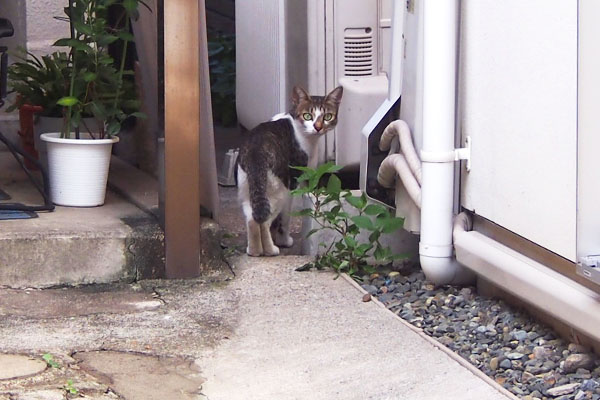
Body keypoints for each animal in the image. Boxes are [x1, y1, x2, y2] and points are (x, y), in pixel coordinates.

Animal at [238, 86, 344, 258]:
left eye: (328, 116)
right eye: (308, 116)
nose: (318, 127)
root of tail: (256, 152)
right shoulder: (296, 180)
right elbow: (285, 219)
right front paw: (284, 241)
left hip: (248, 189)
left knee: (252, 219)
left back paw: (254, 251)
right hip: (279, 190)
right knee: (264, 220)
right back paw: (270, 250)